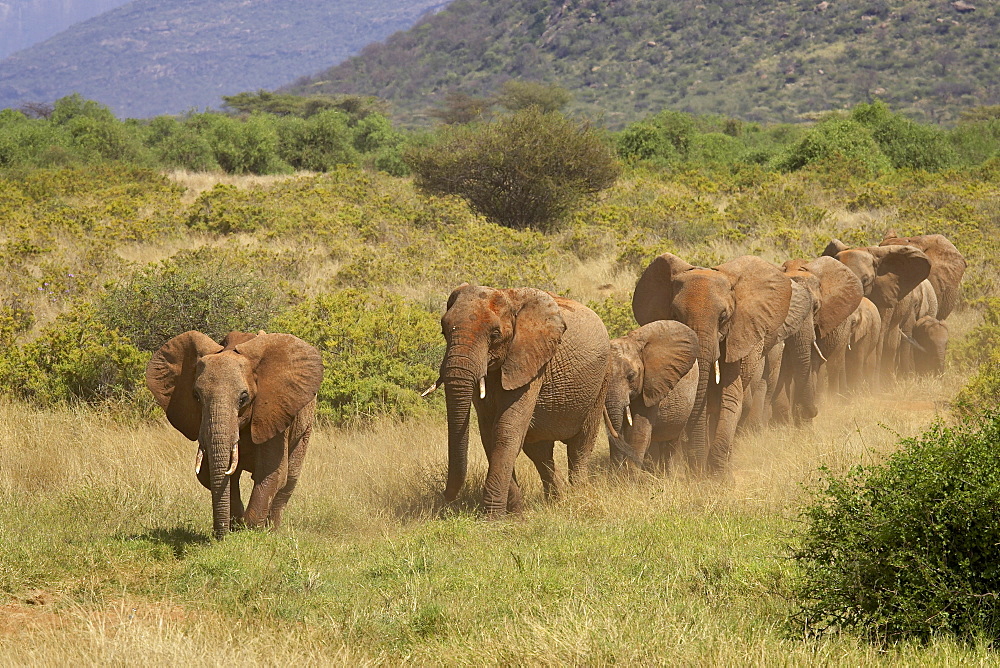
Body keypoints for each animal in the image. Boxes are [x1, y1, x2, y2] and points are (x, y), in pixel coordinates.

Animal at [436, 284, 608, 516]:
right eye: (444, 331)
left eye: (495, 334)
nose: (446, 497)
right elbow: (489, 433)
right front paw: (516, 514)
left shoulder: (531, 363)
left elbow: (506, 430)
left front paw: (493, 517)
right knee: (540, 452)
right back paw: (558, 500)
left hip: (600, 383)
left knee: (580, 447)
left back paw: (578, 497)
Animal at [632, 252, 788, 474]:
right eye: (675, 315)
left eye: (723, 317)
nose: (696, 467)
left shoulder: (735, 340)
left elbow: (730, 397)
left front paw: (716, 474)